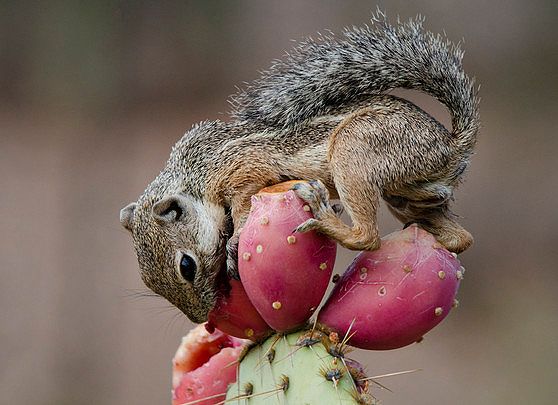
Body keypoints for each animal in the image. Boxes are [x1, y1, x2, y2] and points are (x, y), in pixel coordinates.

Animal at [119, 13, 482, 322]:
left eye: (186, 265)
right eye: (149, 283)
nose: (201, 317)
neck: (195, 171)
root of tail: (450, 145)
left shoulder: (245, 167)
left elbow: (244, 204)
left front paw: (235, 241)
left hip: (354, 148)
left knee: (368, 237)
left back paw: (325, 216)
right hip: (404, 197)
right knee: (460, 238)